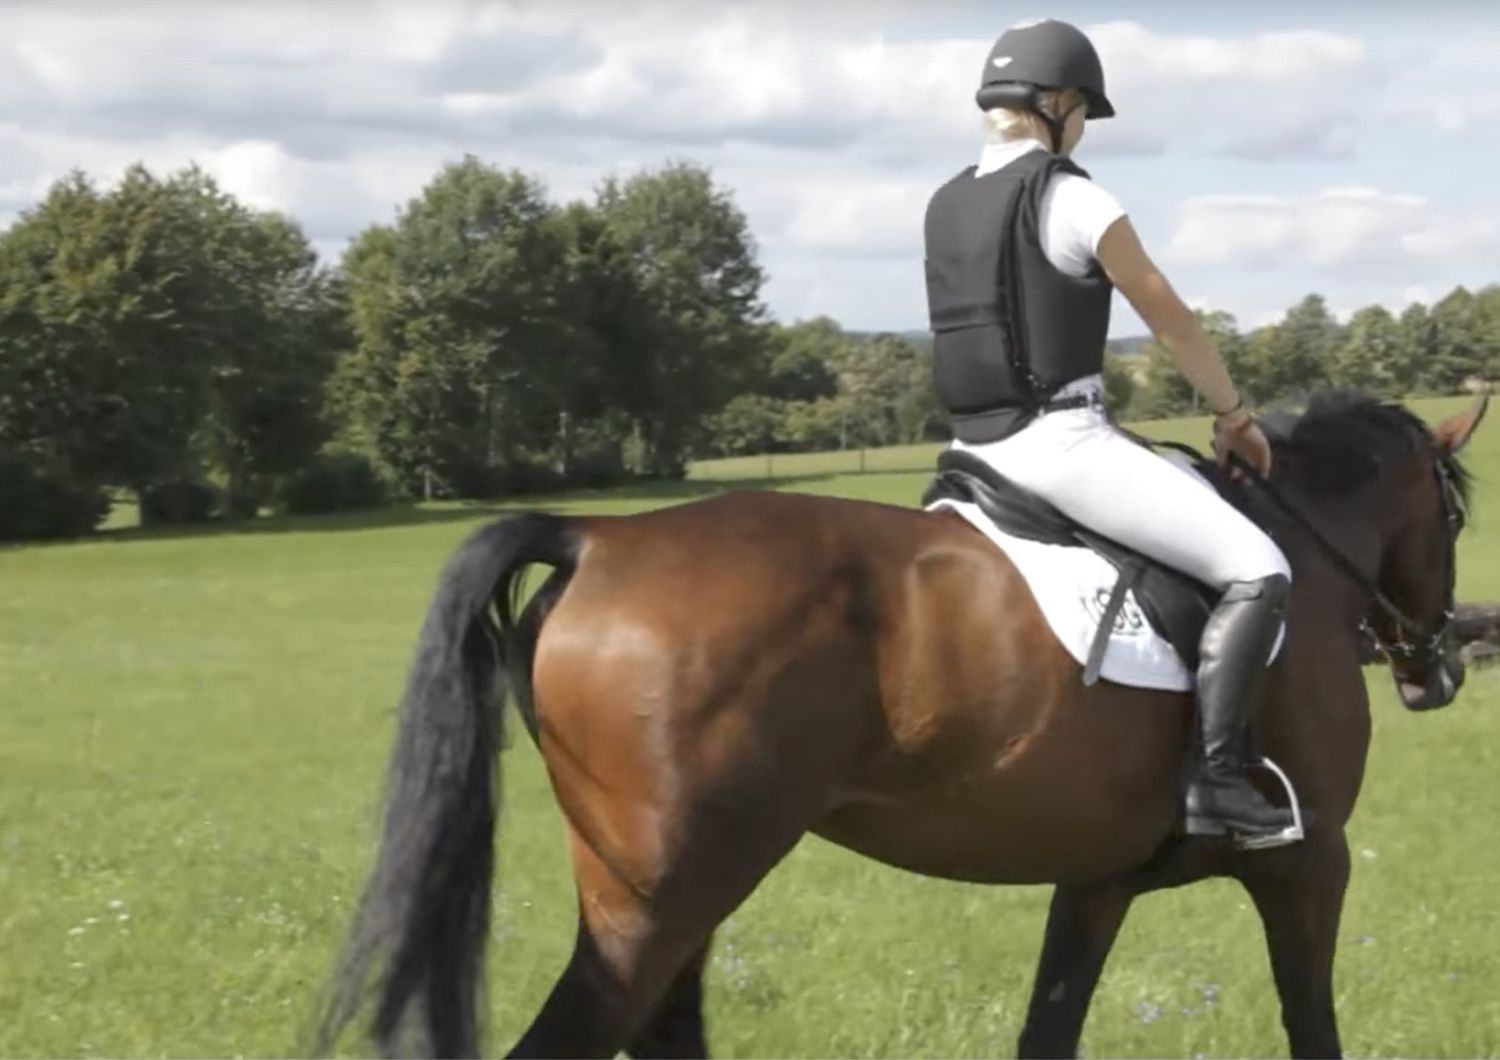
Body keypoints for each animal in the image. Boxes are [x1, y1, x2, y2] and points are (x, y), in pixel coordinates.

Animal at [313, 389, 1487, 1059]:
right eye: (1457, 511)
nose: (1433, 663)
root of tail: (598, 538)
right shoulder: (1309, 863)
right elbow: (1312, 1026)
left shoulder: (1096, 881)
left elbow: (1049, 1029)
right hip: (659, 903)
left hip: (660, 900)